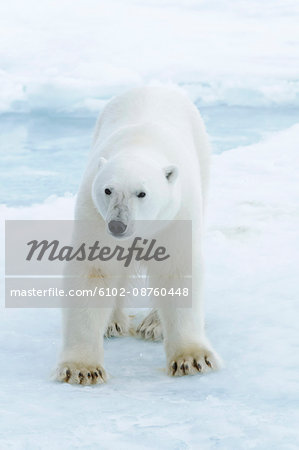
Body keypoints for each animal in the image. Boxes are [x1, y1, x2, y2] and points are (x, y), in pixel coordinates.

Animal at [55, 84, 221, 384]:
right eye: (108, 190)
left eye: (141, 193)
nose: (118, 226)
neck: (140, 143)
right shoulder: (93, 213)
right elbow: (94, 271)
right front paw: (82, 368)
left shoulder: (177, 214)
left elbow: (177, 270)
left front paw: (192, 359)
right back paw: (112, 322)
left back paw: (154, 325)